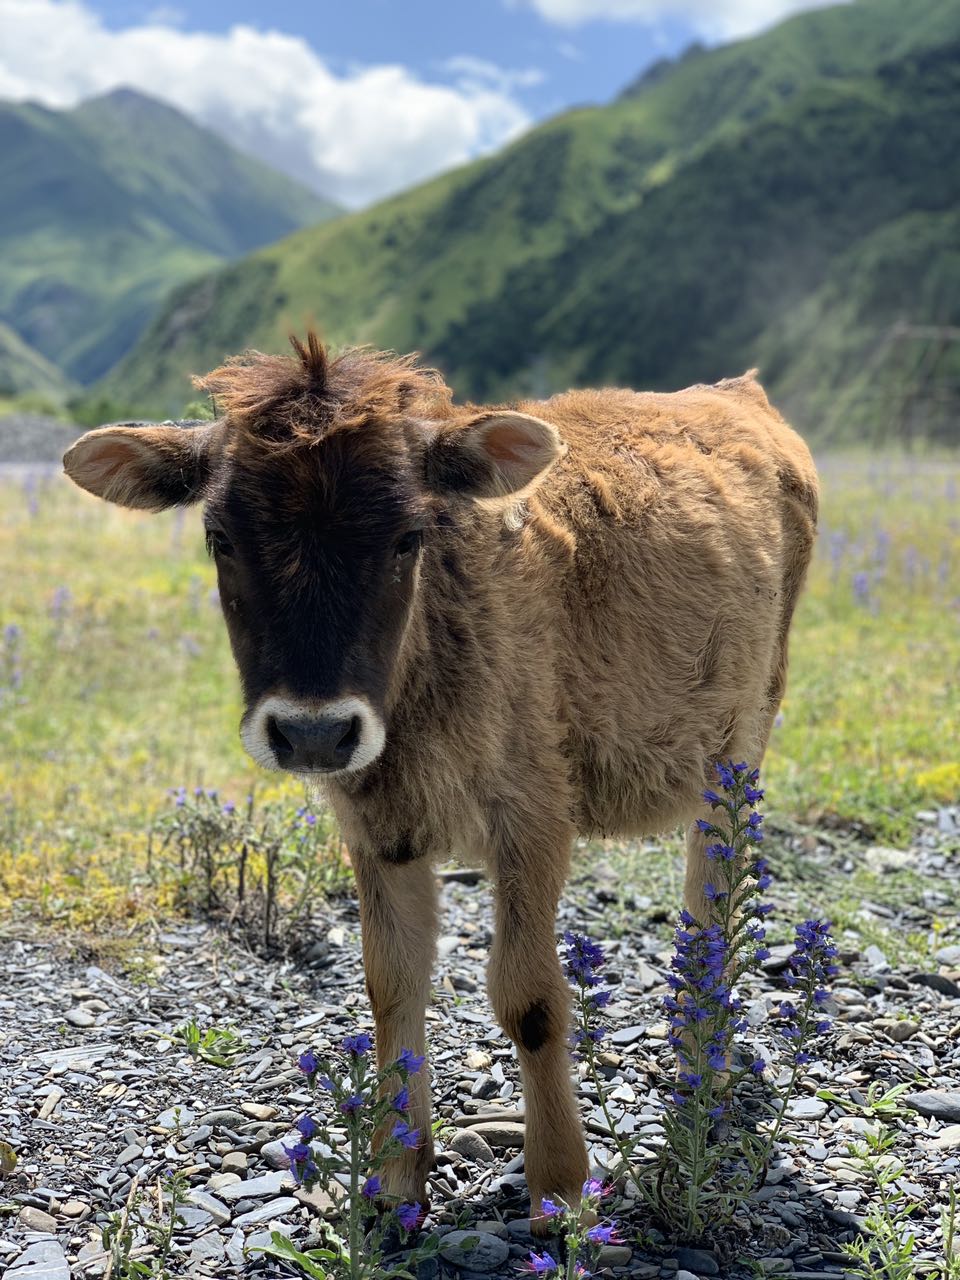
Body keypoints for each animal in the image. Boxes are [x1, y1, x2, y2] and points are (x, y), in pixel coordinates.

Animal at [65, 337, 819, 1218]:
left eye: (405, 536)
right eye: (219, 535)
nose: (314, 730)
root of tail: (741, 394)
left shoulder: (534, 817)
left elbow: (530, 998)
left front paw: (562, 1187)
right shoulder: (377, 827)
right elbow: (392, 984)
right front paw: (394, 1176)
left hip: (740, 748)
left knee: (713, 895)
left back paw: (704, 1061)